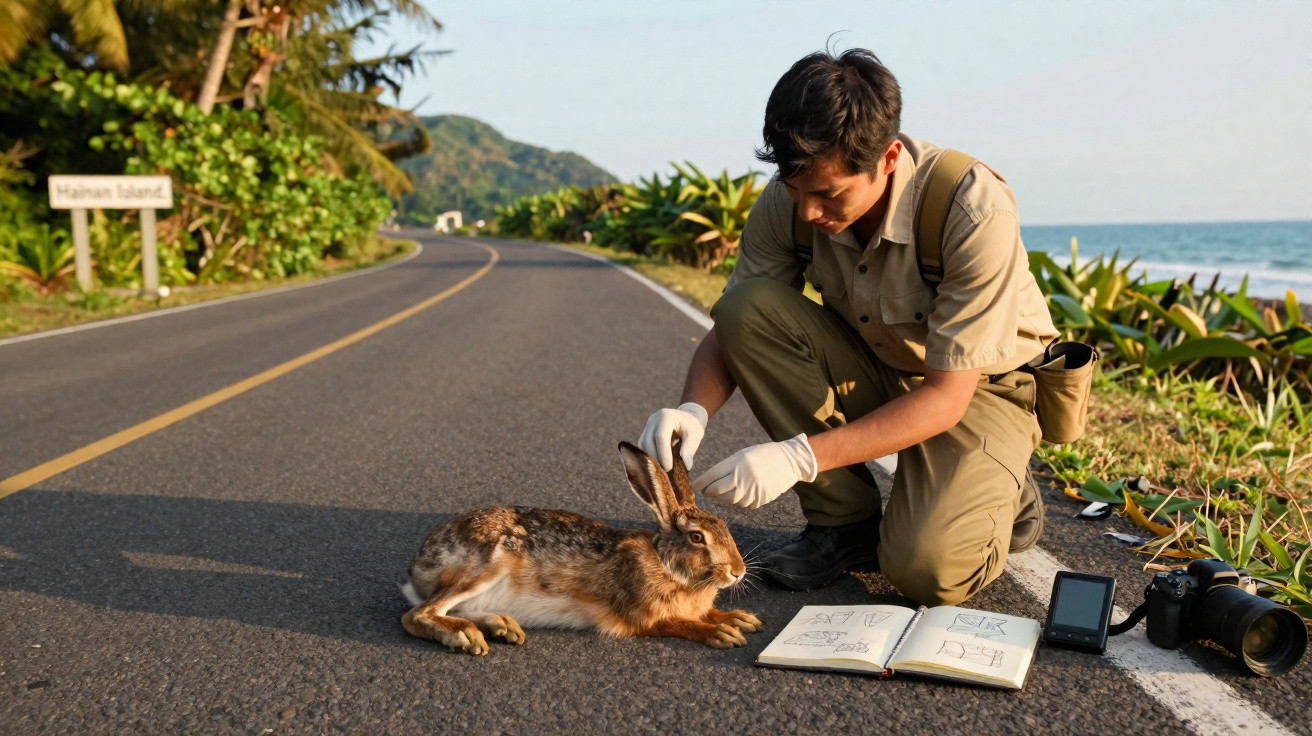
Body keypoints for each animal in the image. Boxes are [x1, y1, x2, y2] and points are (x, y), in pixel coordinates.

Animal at [400, 441, 762, 655]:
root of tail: (418, 565)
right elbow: (682, 624)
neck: (665, 565)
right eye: (697, 538)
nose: (738, 570)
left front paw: (740, 619)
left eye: (723, 526)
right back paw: (465, 635)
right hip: (485, 564)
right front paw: (723, 633)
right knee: (418, 614)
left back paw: (500, 625)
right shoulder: (643, 618)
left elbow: (705, 613)